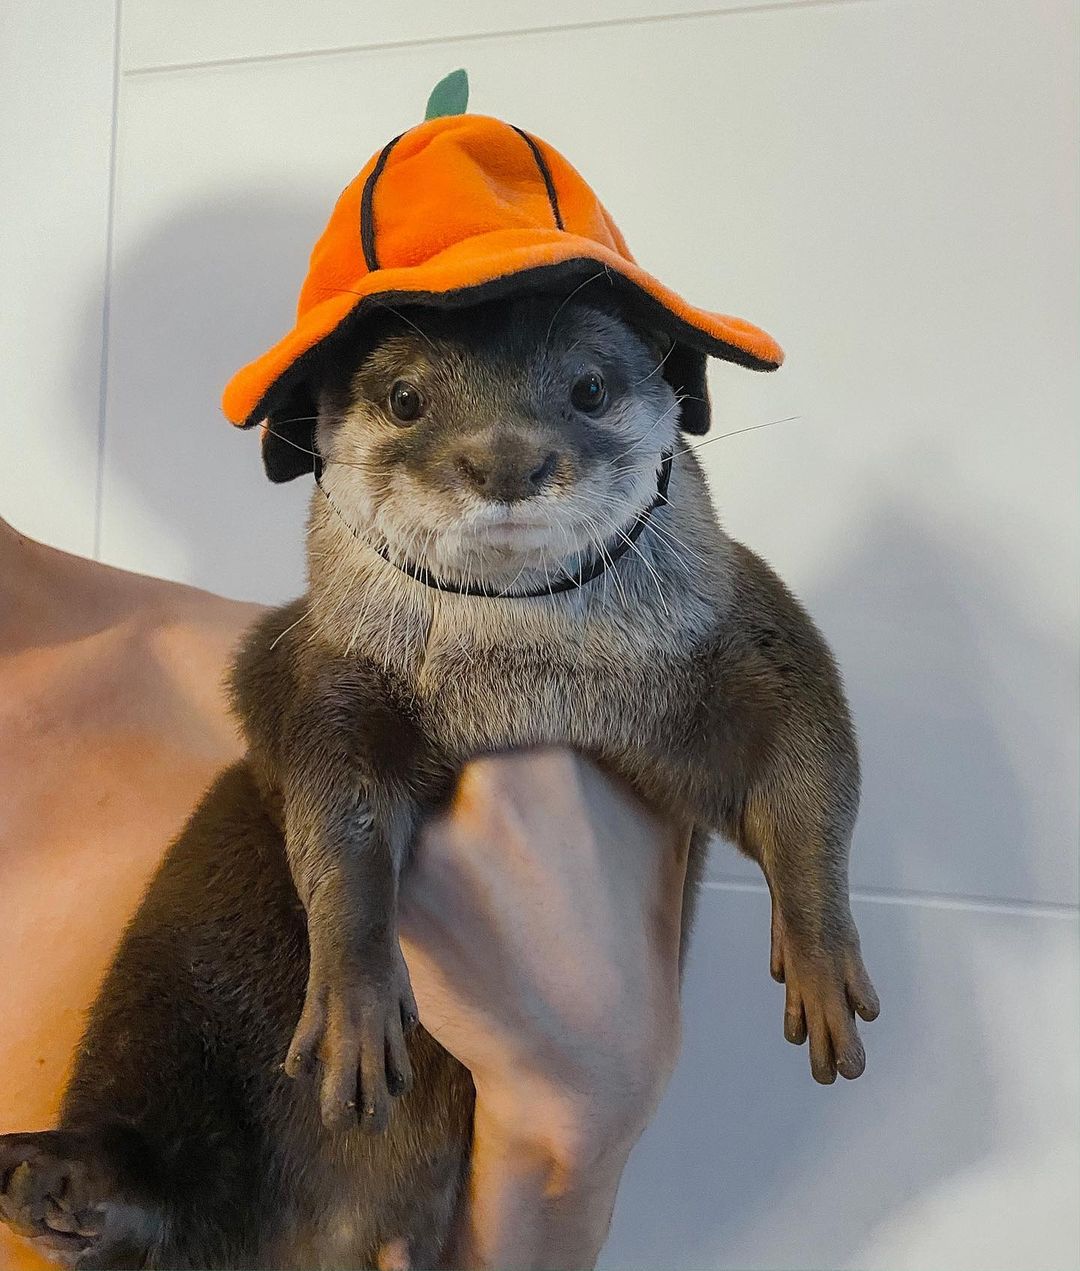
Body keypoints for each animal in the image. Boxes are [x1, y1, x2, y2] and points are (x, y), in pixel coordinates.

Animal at [0, 292, 874, 1265]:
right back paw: (70, 1183)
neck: (519, 680)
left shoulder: (744, 626)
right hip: (166, 975)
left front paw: (822, 961)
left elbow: (809, 761)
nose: (505, 459)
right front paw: (356, 996)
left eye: (590, 386)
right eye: (405, 397)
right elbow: (334, 814)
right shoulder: (326, 673)